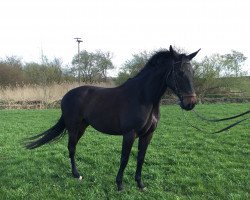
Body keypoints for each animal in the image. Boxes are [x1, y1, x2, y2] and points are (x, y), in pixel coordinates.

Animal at [25, 45, 200, 191]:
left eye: (192, 73)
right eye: (179, 73)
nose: (190, 103)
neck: (143, 98)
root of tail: (67, 95)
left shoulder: (148, 135)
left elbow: (141, 158)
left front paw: (140, 184)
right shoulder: (129, 134)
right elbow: (124, 158)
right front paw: (120, 184)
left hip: (82, 127)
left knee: (72, 148)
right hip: (73, 127)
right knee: (72, 148)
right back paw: (77, 174)